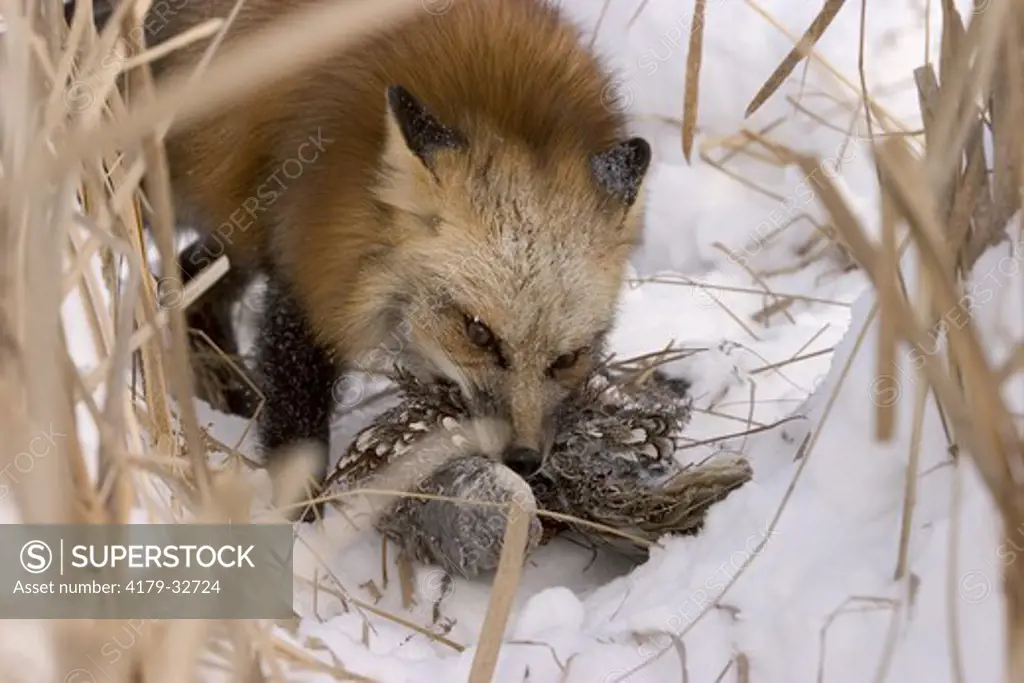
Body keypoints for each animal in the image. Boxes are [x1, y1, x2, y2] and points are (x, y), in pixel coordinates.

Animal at [74, 0, 647, 518]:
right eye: (478, 333)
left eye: (568, 358)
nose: (523, 459)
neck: (509, 106)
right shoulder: (314, 269)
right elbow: (297, 427)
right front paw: (301, 524)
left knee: (192, 286)